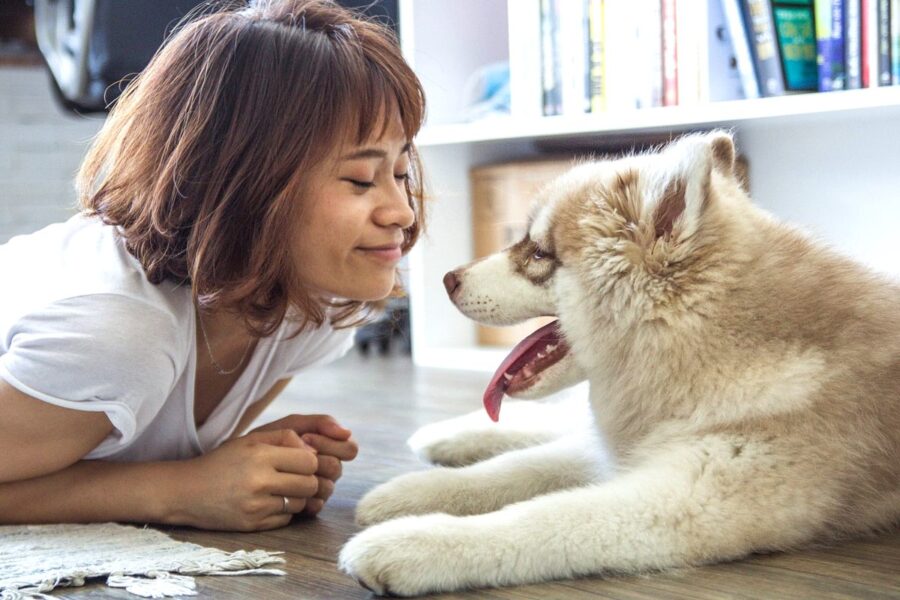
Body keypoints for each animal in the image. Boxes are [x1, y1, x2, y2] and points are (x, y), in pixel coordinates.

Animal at [340, 131, 900, 596]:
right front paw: (410, 492)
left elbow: (543, 517)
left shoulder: (686, 499)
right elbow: (512, 470)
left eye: (538, 253)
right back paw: (447, 436)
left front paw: (412, 544)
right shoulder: (632, 452)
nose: (447, 279)